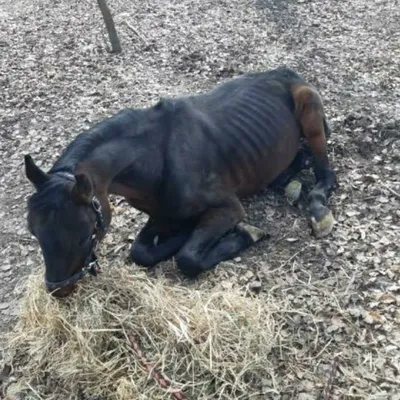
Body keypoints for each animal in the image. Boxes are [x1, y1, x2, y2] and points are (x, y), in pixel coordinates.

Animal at [25, 67, 336, 296]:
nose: (58, 290)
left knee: (325, 173)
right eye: (33, 232)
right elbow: (141, 251)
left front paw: (245, 234)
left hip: (311, 114)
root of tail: (291, 74)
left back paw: (318, 209)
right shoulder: (161, 213)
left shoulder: (228, 208)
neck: (155, 158)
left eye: (83, 234)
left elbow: (188, 258)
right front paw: (180, 234)